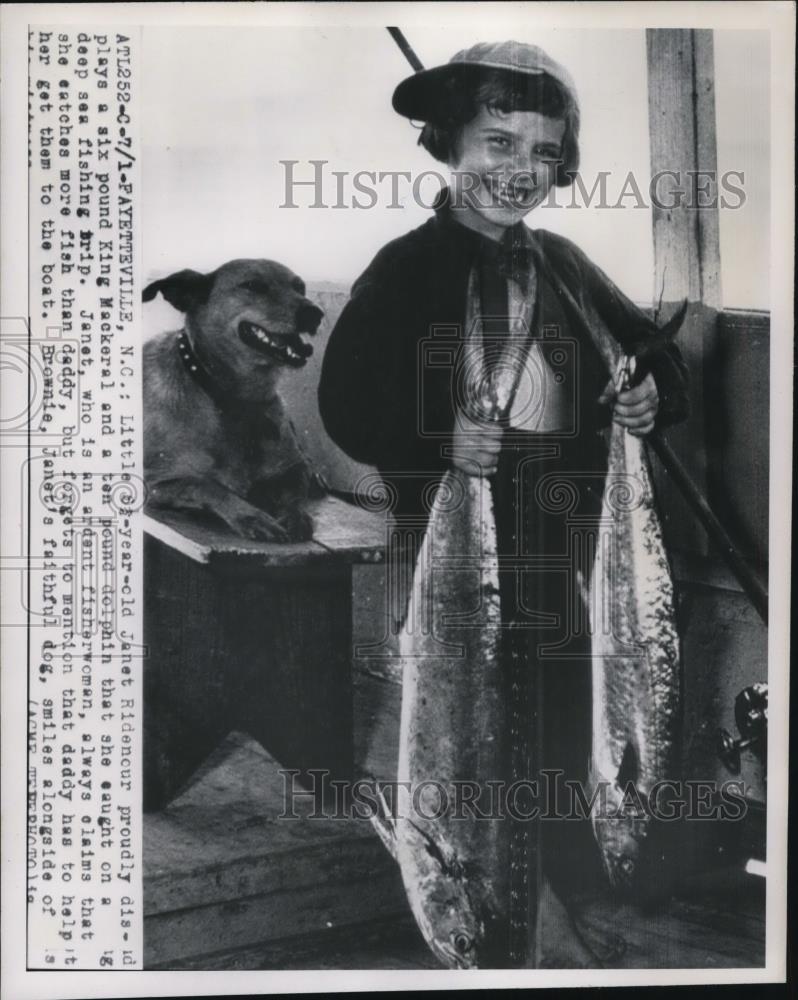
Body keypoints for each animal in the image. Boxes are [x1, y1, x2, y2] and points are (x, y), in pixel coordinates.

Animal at [145, 258, 326, 540]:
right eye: (253, 286)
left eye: (300, 287)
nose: (315, 313)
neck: (238, 402)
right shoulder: (153, 482)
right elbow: (205, 484)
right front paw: (251, 516)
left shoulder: (292, 469)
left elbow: (295, 491)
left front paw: (295, 515)